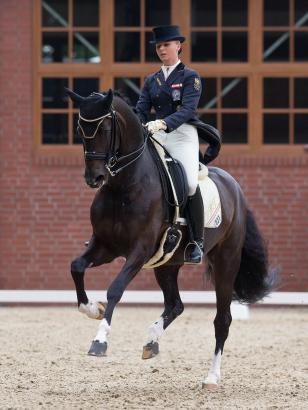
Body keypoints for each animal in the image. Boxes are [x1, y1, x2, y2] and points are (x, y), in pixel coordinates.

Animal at [66, 89, 276, 388]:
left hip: (226, 263)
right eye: (80, 130)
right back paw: (151, 340)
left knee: (222, 319)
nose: (94, 178)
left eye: (105, 129)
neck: (124, 186)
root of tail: (234, 187)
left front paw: (99, 341)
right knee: (175, 305)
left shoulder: (139, 250)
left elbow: (115, 289)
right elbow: (77, 267)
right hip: (167, 264)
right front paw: (93, 309)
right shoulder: (105, 246)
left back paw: (212, 377)